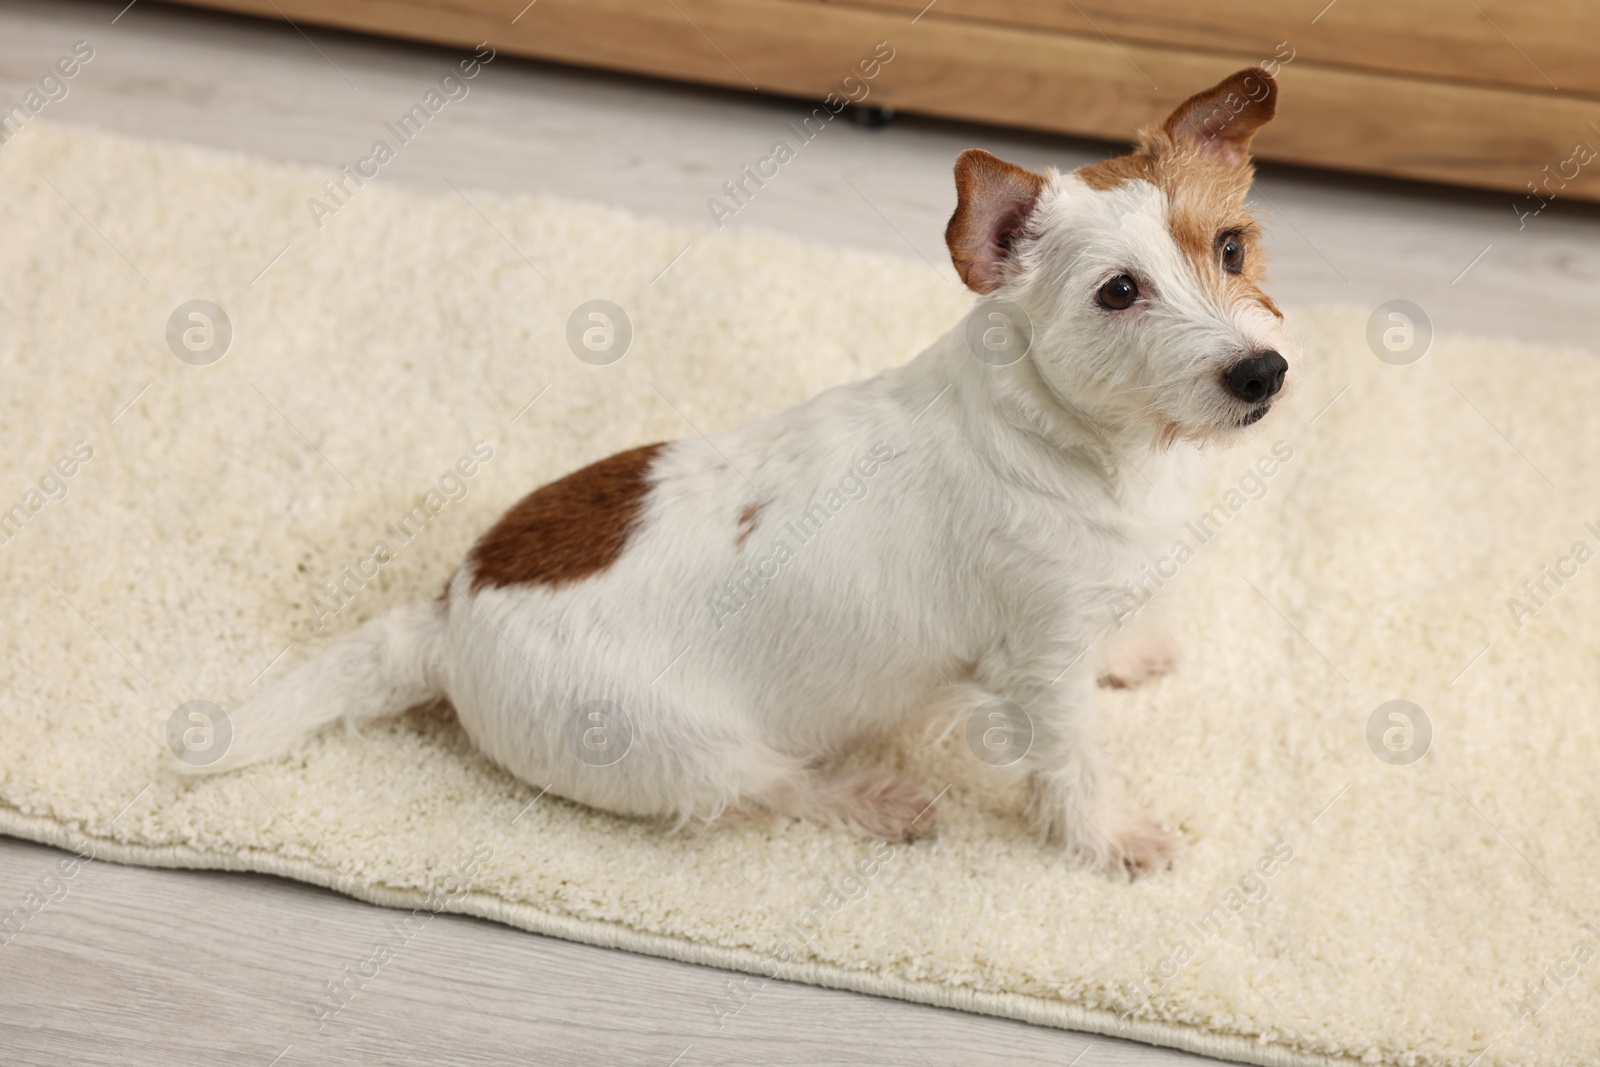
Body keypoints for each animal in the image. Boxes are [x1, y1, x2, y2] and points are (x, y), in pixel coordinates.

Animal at [184, 70, 1286, 883]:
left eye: (1232, 247)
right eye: (1118, 292)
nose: (1261, 372)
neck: (1074, 436)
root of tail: (447, 614)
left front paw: (1130, 648)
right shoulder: (1038, 665)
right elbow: (1071, 761)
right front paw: (1111, 837)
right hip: (691, 749)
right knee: (770, 789)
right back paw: (871, 800)